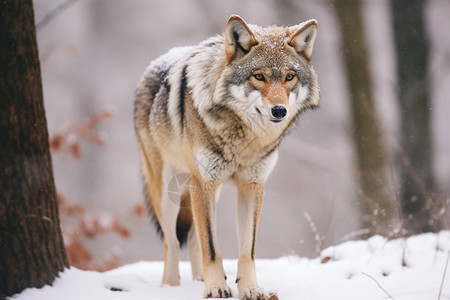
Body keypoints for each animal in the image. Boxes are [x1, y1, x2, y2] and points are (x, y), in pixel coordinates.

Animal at [134, 14, 320, 300]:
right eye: (258, 76)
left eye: (290, 77)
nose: (280, 111)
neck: (244, 140)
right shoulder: (204, 184)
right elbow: (211, 246)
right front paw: (216, 288)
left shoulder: (252, 186)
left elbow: (246, 250)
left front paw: (251, 289)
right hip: (169, 192)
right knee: (172, 241)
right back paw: (171, 287)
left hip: (207, 192)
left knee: (193, 237)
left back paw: (197, 281)